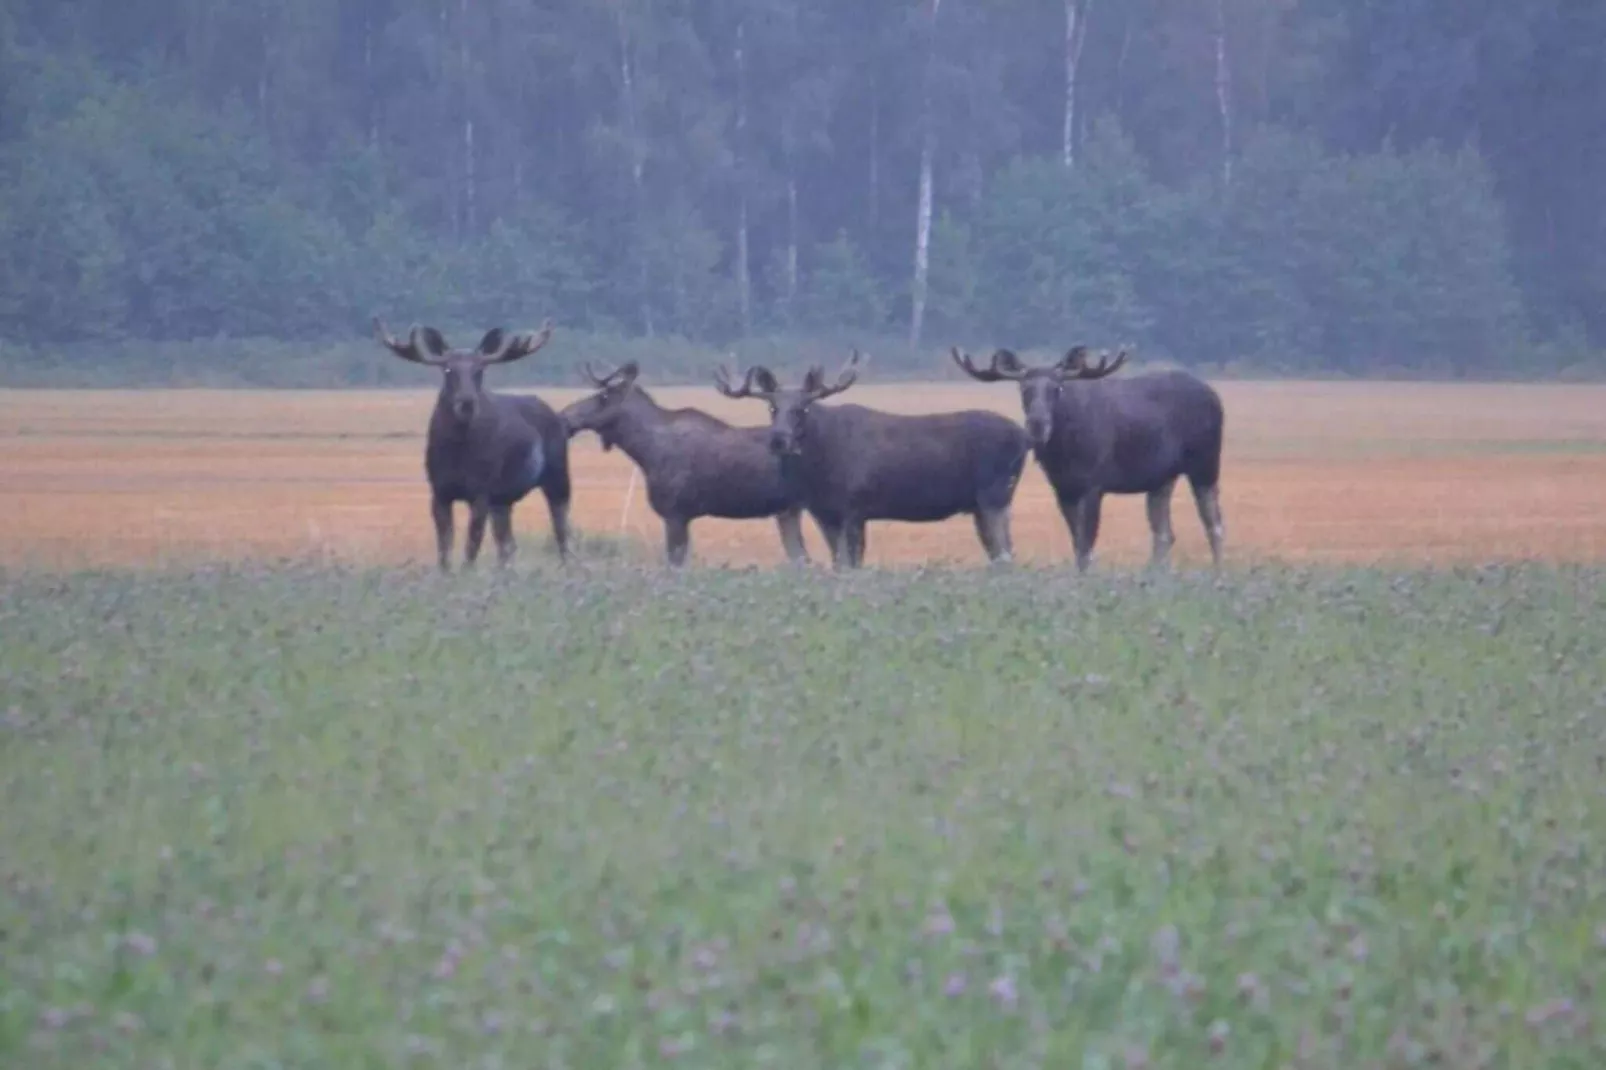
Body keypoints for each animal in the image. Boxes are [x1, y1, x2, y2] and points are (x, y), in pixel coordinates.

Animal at [372, 314, 574, 571]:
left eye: (480, 370)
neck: (458, 452)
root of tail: (556, 416)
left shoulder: (481, 491)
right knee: (507, 544)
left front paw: (466, 573)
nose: (467, 402)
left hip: (557, 476)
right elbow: (444, 549)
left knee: (562, 532)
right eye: (448, 369)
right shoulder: (439, 491)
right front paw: (446, 574)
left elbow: (471, 547)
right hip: (504, 499)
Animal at [716, 350, 1027, 565]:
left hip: (995, 494)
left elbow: (850, 563)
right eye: (771, 408)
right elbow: (839, 563)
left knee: (1006, 554)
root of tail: (1023, 437)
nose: (779, 439)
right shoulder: (824, 513)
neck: (818, 474)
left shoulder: (854, 506)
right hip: (982, 505)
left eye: (802, 409)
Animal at [944, 345, 1220, 571]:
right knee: (1164, 533)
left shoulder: (1094, 484)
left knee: (1214, 524)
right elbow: (1077, 544)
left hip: (1205, 463)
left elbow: (1087, 546)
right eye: (1024, 389)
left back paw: (1217, 572)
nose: (1037, 423)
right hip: (1161, 478)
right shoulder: (1063, 488)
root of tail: (1214, 395)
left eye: (1056, 388)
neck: (1063, 454)